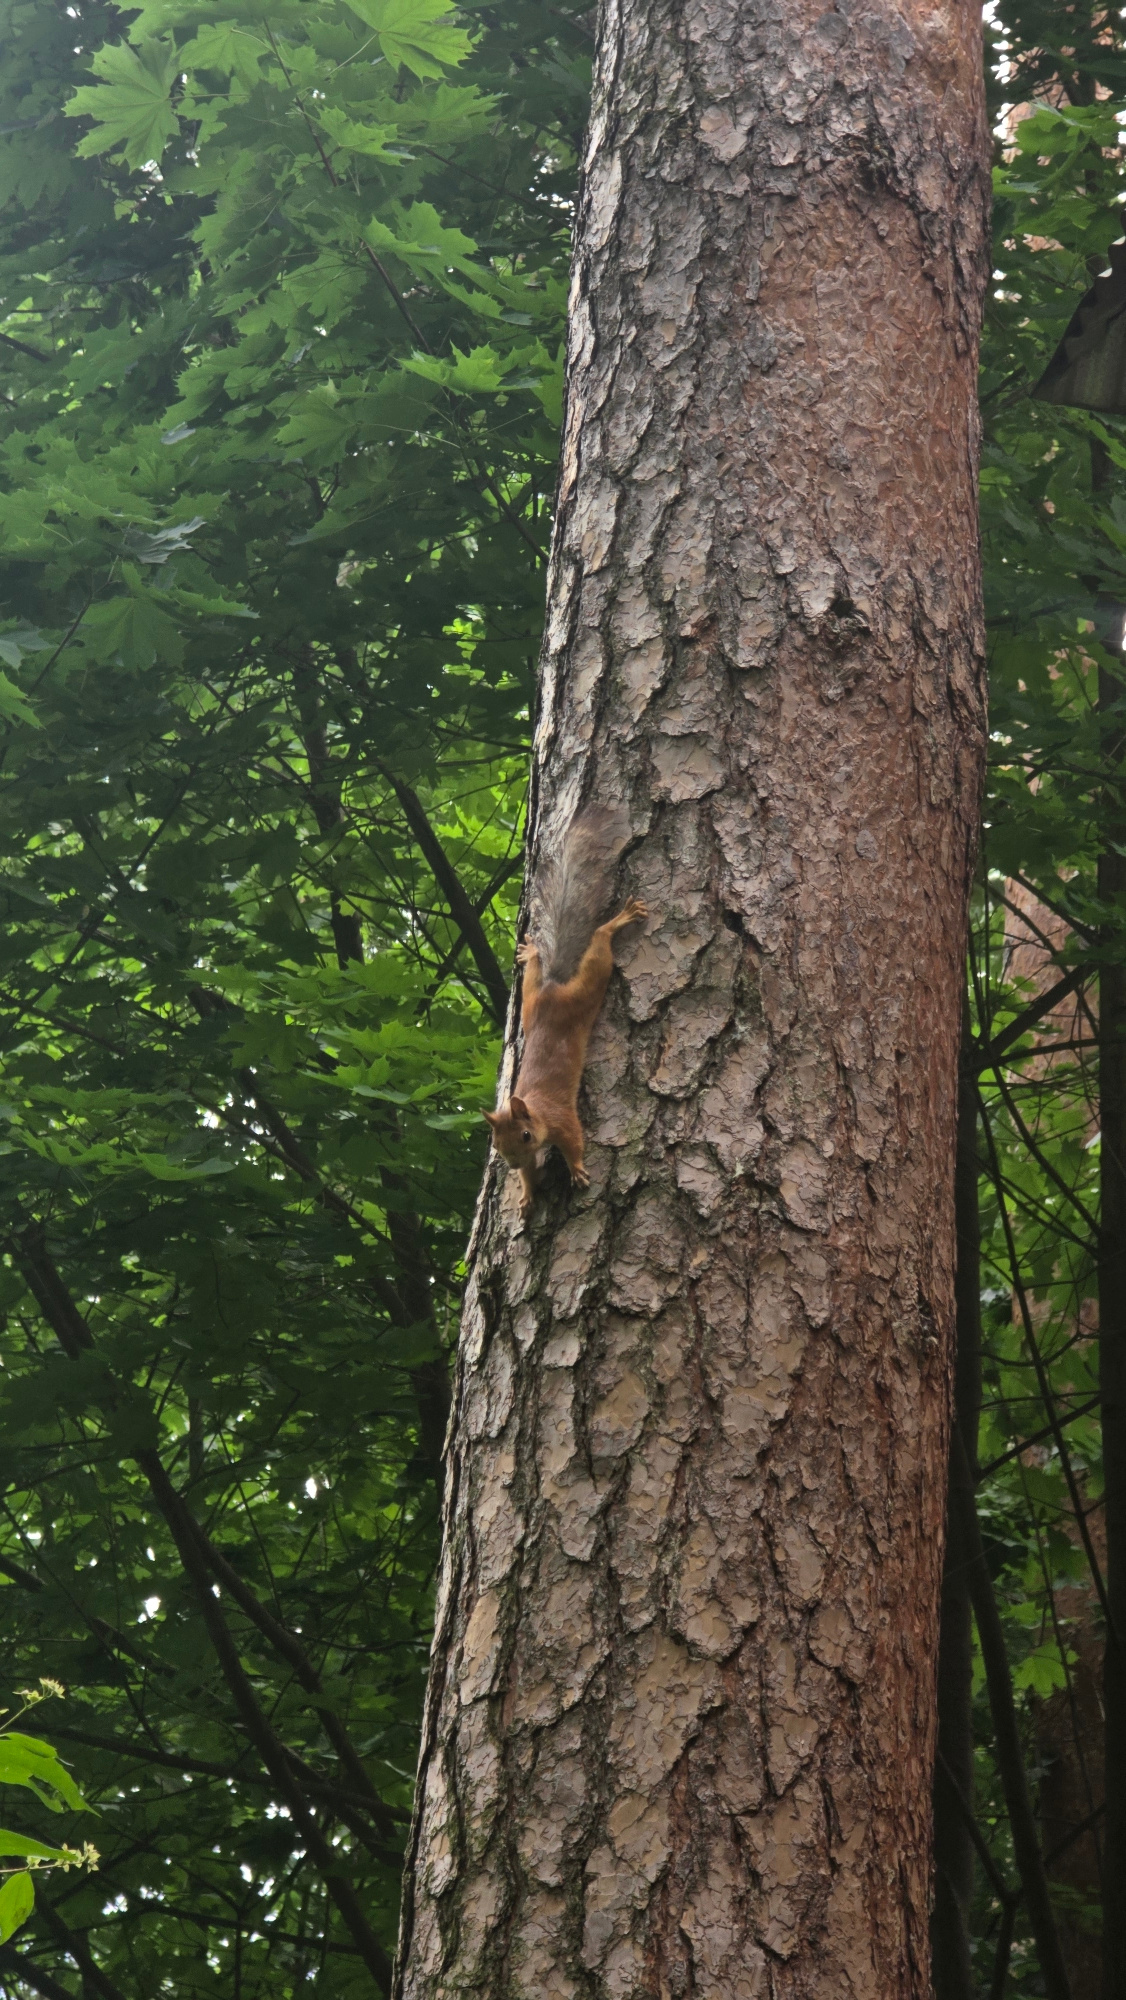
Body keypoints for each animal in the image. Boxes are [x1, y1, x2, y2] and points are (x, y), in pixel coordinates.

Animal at [484, 806, 647, 1219]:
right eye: (496, 1143)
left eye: (525, 1134)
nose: (509, 1163)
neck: (536, 1113)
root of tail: (553, 991)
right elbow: (529, 1173)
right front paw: (527, 1193)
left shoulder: (562, 1119)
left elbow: (574, 1142)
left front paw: (577, 1171)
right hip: (529, 1003)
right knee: (534, 973)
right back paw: (531, 953)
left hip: (586, 988)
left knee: (600, 944)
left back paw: (617, 922)